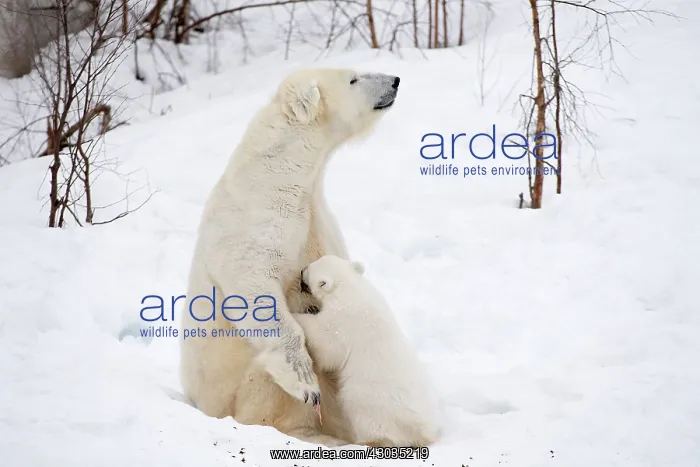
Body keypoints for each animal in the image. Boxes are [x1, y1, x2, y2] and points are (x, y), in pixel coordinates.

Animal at [179, 68, 400, 446]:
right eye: (354, 78)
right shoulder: (256, 217)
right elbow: (253, 284)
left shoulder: (317, 217)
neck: (281, 171)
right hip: (239, 391)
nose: (395, 80)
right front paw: (305, 383)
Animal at [293, 255, 440, 447]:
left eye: (308, 271)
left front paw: (296, 314)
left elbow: (327, 345)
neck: (350, 288)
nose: (301, 270)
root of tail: (422, 431)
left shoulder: (343, 320)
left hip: (371, 401)